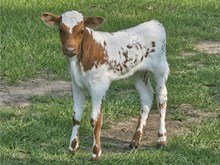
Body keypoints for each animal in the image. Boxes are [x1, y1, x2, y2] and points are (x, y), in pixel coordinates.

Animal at [40, 10, 168, 160]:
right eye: (61, 29)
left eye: (81, 30)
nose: (70, 49)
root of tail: (154, 23)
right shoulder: (77, 85)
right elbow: (76, 116)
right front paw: (72, 148)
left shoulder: (98, 86)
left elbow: (95, 119)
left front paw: (96, 153)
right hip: (138, 73)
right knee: (146, 97)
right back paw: (135, 140)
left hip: (159, 70)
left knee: (161, 100)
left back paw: (161, 139)